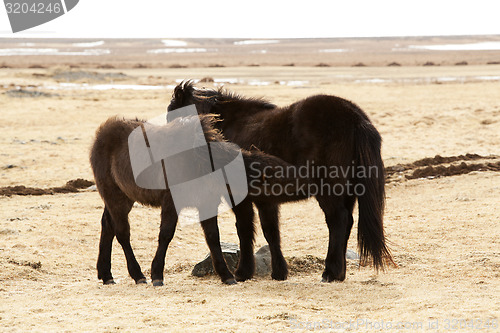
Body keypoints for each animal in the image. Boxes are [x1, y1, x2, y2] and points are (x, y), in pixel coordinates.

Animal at [90, 113, 308, 284]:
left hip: (124, 198)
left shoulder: (207, 204)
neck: (199, 162)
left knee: (107, 226)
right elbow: (166, 235)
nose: (304, 182)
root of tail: (101, 134)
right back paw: (137, 275)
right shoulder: (171, 203)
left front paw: (226, 275)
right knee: (122, 233)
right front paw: (157, 274)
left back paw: (106, 274)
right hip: (115, 197)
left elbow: (213, 237)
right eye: (271, 175)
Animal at [168, 81, 394, 282]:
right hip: (348, 192)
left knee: (338, 221)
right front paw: (278, 273)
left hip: (329, 191)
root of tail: (356, 118)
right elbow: (271, 232)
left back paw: (330, 273)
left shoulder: (240, 198)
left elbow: (244, 230)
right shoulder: (266, 200)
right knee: (346, 224)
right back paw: (340, 274)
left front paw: (243, 273)